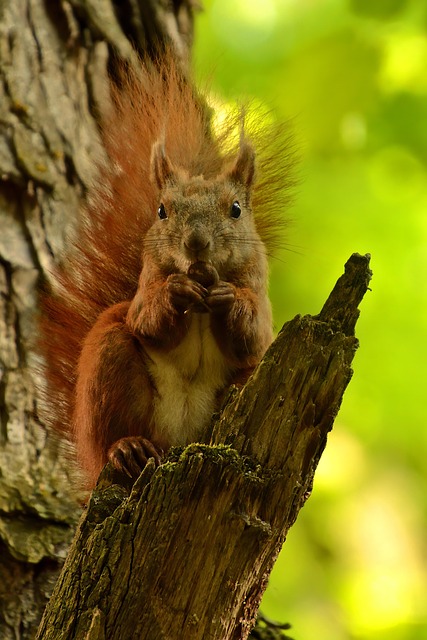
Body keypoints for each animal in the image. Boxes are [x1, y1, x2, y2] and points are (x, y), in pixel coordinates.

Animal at [39, 56, 295, 488]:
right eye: (162, 210)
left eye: (236, 209)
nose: (196, 242)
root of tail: (178, 441)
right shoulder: (146, 285)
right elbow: (146, 318)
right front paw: (176, 292)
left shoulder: (260, 291)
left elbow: (255, 332)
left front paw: (228, 299)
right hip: (110, 365)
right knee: (113, 433)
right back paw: (126, 448)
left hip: (250, 380)